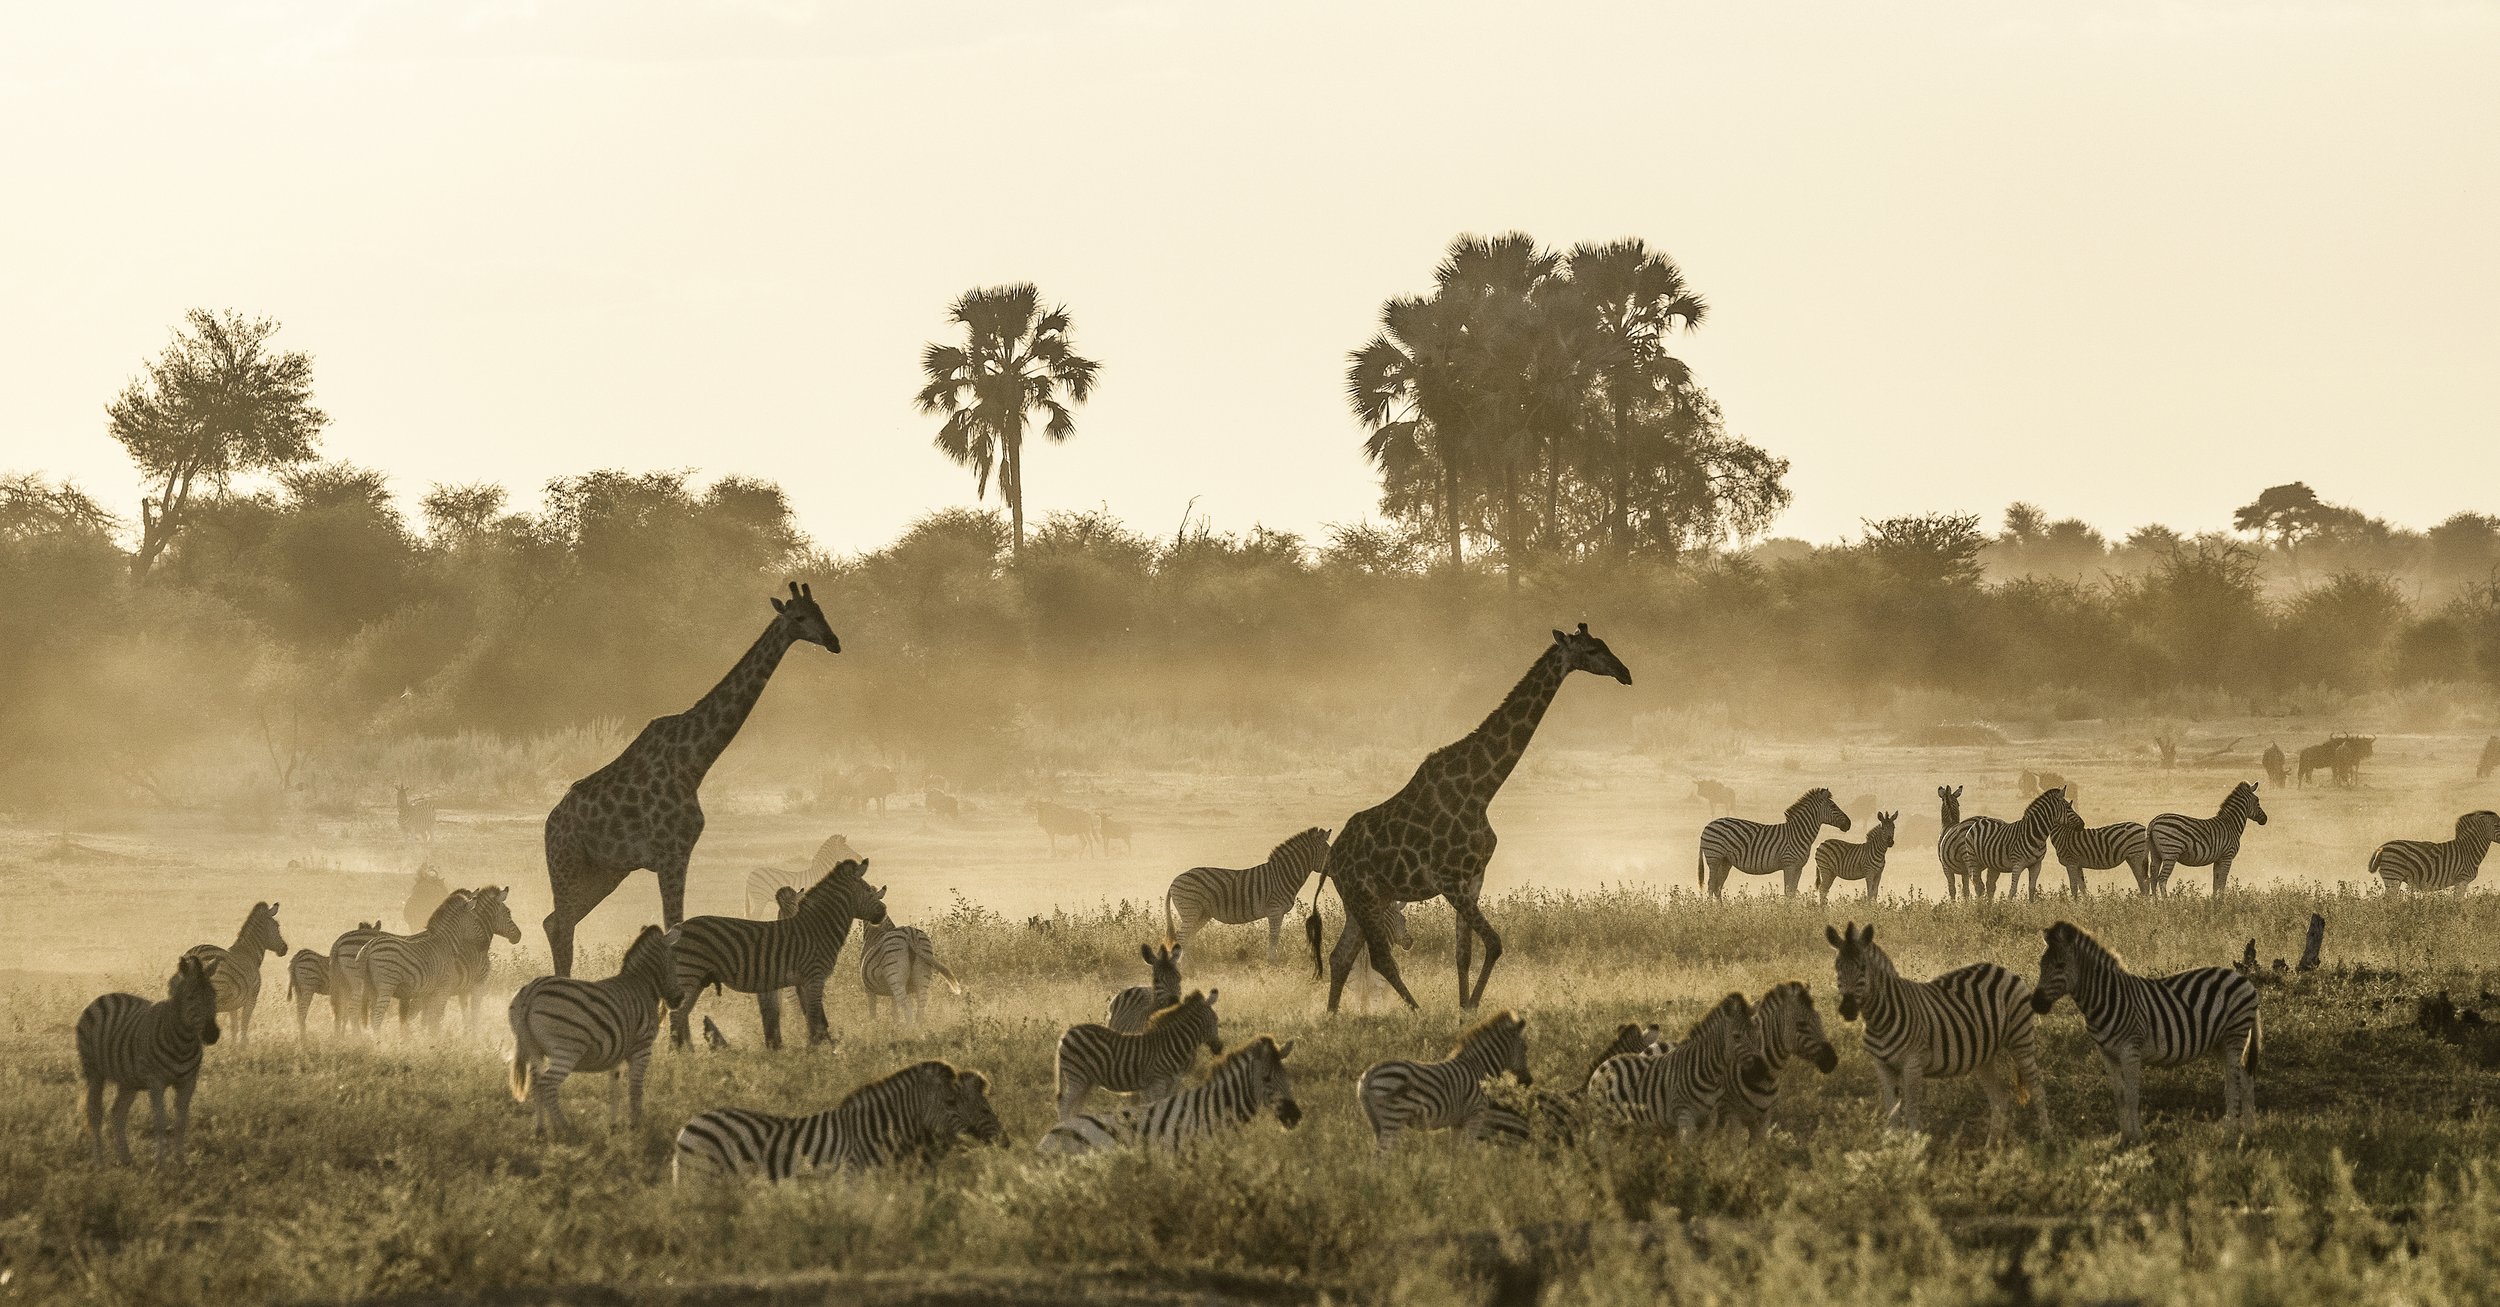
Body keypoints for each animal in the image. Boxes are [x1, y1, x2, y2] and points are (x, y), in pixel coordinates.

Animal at [541, 582, 839, 976]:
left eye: (822, 611)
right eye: (800, 617)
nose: (834, 641)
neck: (694, 763)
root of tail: (549, 824)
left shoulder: (679, 853)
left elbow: (676, 931)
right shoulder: (672, 852)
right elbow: (674, 932)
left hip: (605, 872)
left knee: (557, 922)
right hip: (568, 865)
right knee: (561, 924)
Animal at [1317, 624, 1633, 1011]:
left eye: (1603, 643)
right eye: (1590, 651)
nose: (1625, 673)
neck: (1482, 790)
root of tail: (1332, 859)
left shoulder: (1473, 878)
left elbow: (1463, 953)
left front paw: (1464, 1007)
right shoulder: (1450, 880)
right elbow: (1495, 943)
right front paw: (1470, 1005)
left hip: (1364, 900)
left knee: (1340, 956)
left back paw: (1333, 1016)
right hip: (1362, 896)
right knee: (1379, 958)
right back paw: (1416, 1011)